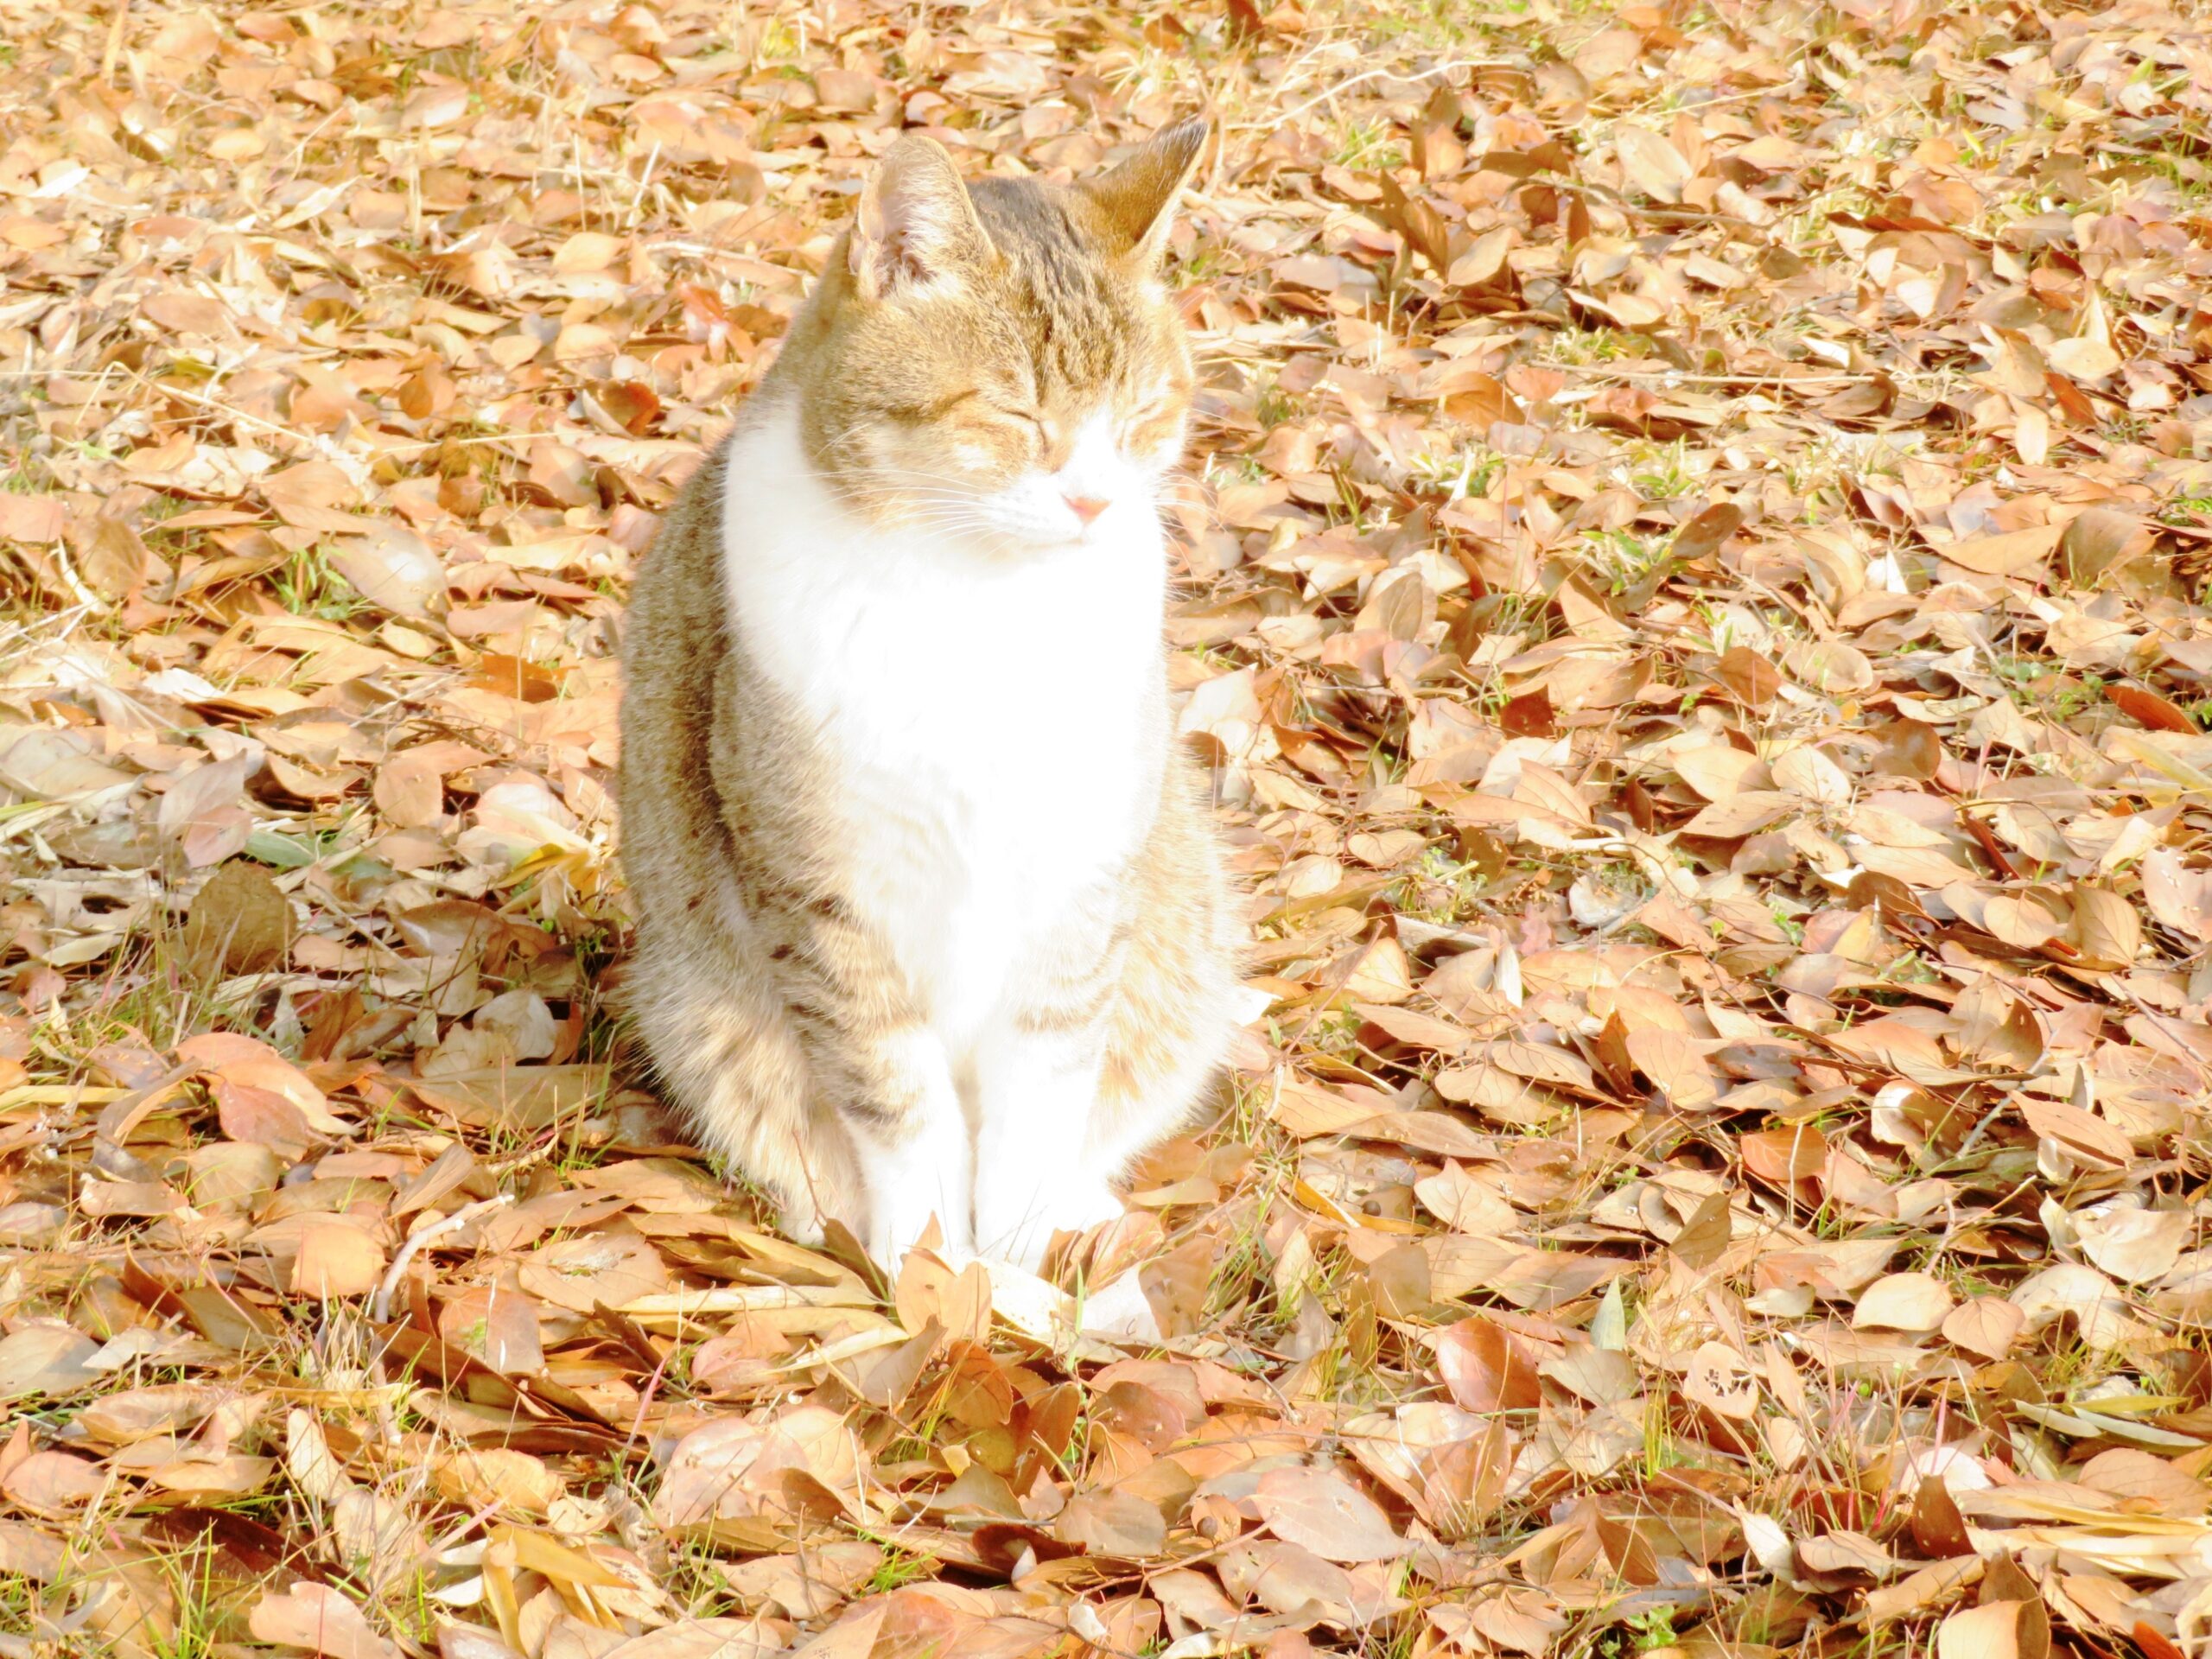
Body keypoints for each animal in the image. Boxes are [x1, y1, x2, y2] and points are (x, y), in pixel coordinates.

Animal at [619, 123, 1247, 1282]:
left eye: (1143, 414)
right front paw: (934, 1265)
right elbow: (895, 1100)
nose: (1095, 501)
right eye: (1012, 412)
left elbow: (1043, 1086)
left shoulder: (1079, 875)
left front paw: (1017, 1251)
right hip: (699, 1008)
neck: (979, 595)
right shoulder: (822, 888)